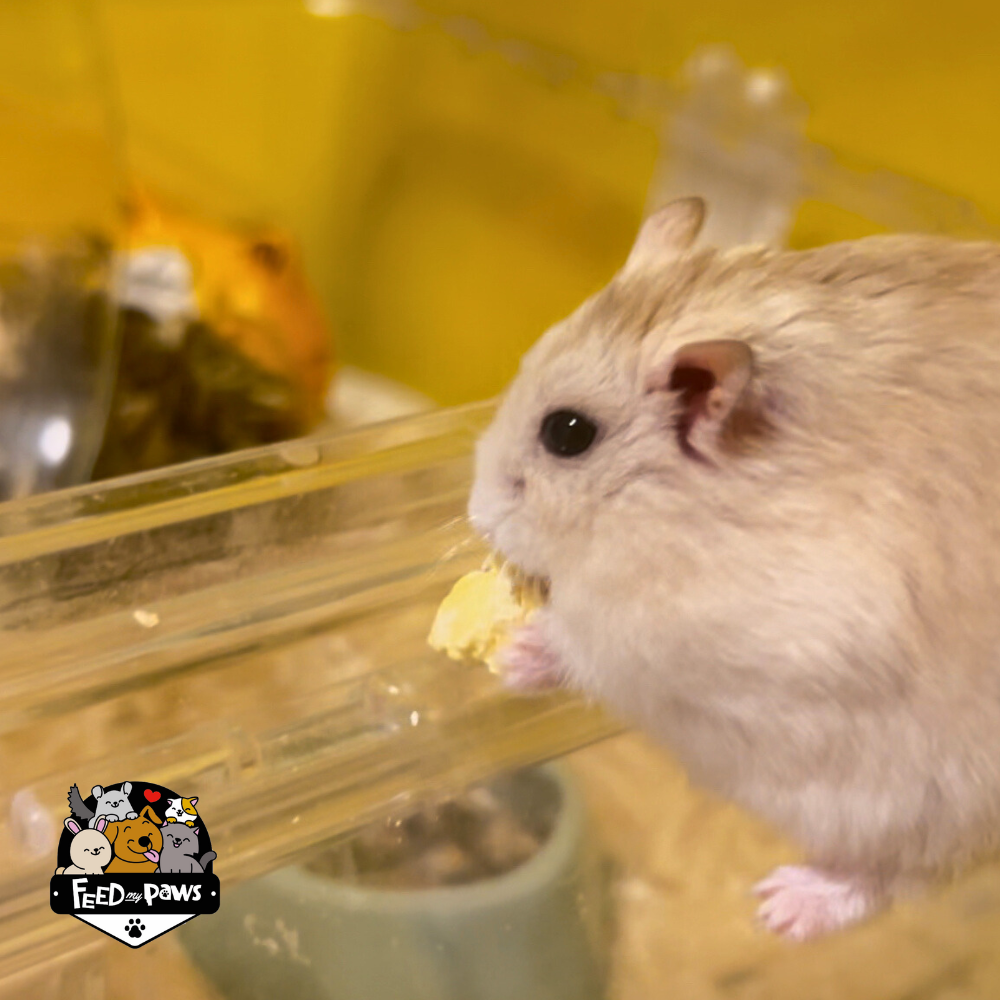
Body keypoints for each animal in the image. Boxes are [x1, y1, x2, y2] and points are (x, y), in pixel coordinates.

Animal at [468, 196, 1000, 941]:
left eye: (566, 433)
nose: (475, 514)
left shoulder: (732, 635)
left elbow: (588, 646)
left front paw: (516, 655)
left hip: (921, 798)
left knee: (898, 875)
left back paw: (781, 908)